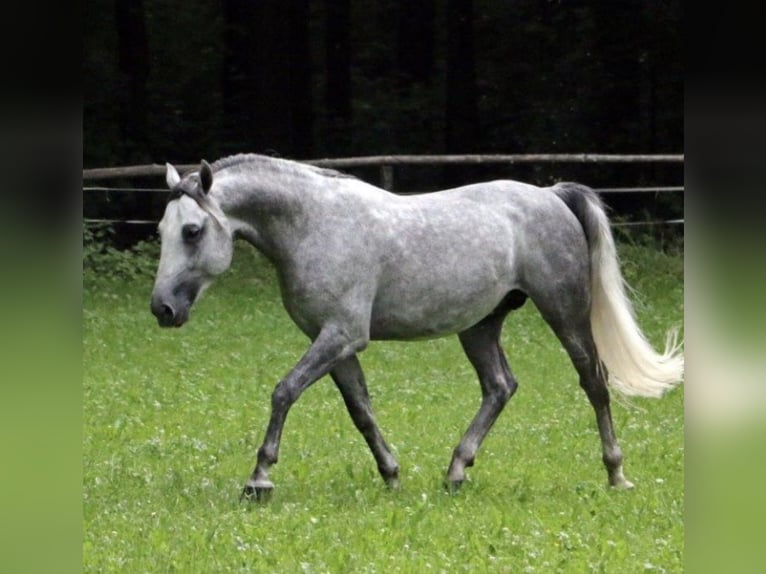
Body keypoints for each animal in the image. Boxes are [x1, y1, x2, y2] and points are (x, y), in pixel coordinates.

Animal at [148, 155, 684, 502]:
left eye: (192, 231)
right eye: (160, 230)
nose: (162, 309)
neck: (314, 224)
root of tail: (552, 195)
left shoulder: (341, 335)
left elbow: (284, 392)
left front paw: (259, 478)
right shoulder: (336, 344)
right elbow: (360, 410)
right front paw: (391, 475)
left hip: (564, 311)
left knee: (593, 381)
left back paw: (616, 474)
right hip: (480, 325)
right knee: (500, 386)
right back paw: (456, 471)